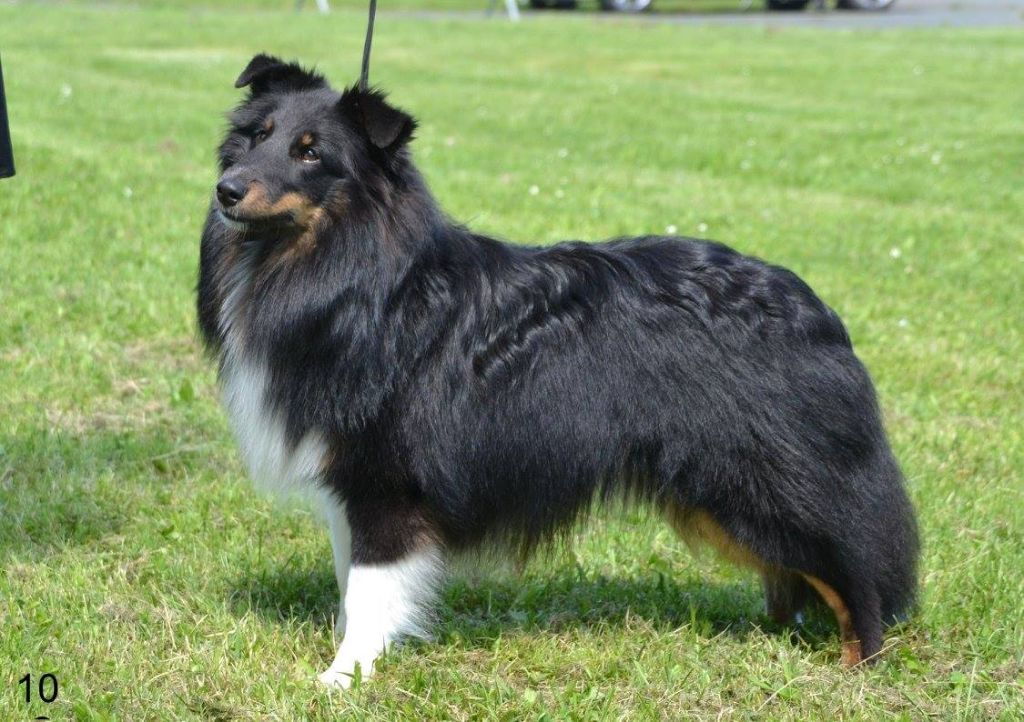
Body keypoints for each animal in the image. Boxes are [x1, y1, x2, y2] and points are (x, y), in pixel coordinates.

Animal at [199, 53, 921, 684]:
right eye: (257, 136)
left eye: (311, 152)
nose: (225, 190)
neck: (354, 276)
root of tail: (814, 307)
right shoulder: (350, 489)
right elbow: (352, 585)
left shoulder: (388, 484)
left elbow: (370, 592)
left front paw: (342, 678)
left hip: (764, 481)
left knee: (853, 567)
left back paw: (857, 667)